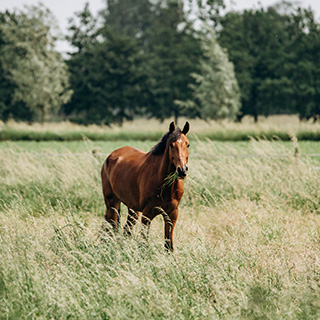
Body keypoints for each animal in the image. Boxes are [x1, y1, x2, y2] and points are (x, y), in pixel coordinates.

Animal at [101, 122, 189, 250]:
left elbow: (169, 246)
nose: (182, 170)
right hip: (112, 203)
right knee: (112, 227)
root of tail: (111, 156)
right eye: (171, 145)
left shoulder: (172, 214)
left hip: (132, 209)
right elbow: (144, 243)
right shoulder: (147, 214)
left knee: (126, 230)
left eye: (188, 144)